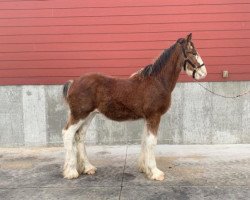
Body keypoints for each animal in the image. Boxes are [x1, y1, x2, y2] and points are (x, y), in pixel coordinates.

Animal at [62, 33, 207, 181]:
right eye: (193, 53)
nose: (203, 72)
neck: (157, 82)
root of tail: (73, 82)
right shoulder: (154, 116)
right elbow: (151, 142)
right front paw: (155, 172)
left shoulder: (147, 118)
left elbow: (144, 141)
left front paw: (145, 168)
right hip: (79, 115)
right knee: (68, 134)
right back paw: (71, 171)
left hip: (89, 116)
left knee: (80, 136)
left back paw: (88, 168)